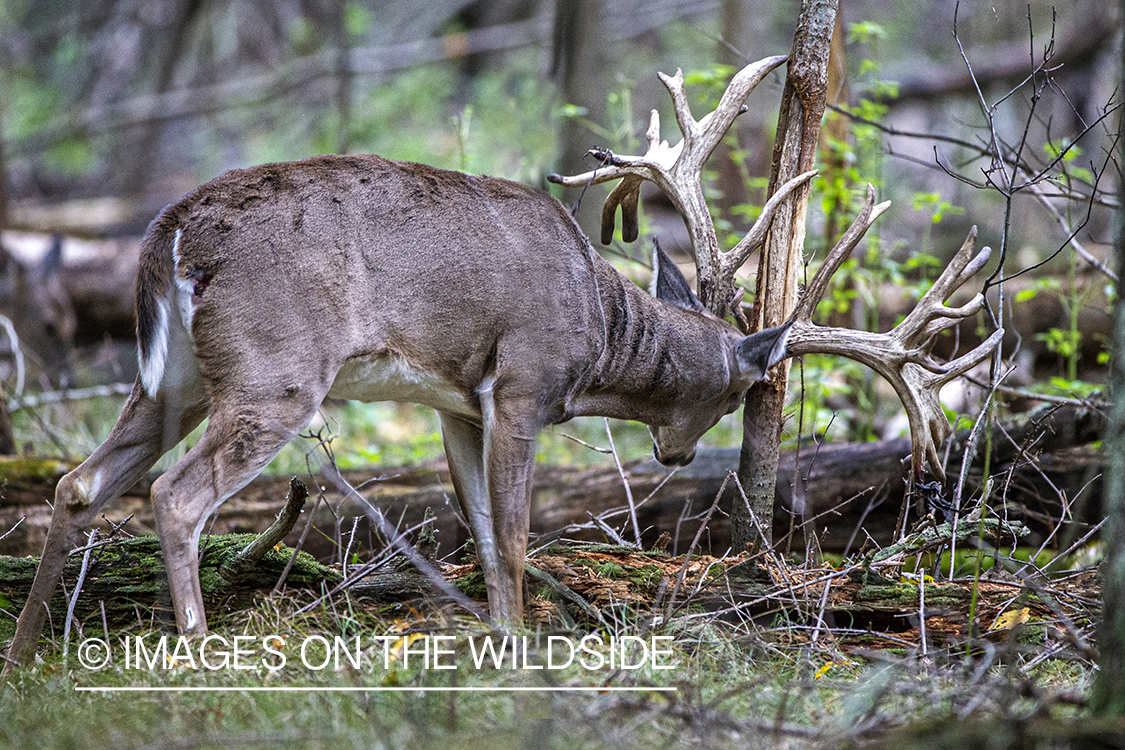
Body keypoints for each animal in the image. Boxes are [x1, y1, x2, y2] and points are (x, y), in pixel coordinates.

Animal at [2, 54, 1003, 674]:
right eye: (730, 400)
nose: (675, 456)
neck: (597, 331)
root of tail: (168, 232)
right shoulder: (522, 380)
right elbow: (516, 532)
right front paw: (523, 653)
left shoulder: (456, 400)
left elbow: (479, 528)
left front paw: (496, 642)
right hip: (274, 368)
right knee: (175, 495)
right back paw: (201, 652)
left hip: (170, 377)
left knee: (77, 483)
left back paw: (23, 655)